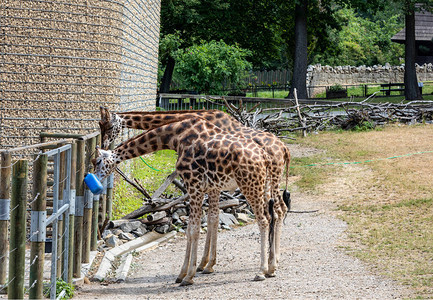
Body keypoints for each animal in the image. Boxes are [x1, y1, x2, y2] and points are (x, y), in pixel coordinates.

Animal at [93, 117, 280, 286]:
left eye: (98, 161)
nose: (94, 179)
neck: (176, 138)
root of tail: (264, 156)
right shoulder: (204, 188)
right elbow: (198, 225)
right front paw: (186, 272)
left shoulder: (194, 186)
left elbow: (194, 230)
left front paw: (189, 275)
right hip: (264, 185)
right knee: (274, 216)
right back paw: (271, 268)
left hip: (250, 185)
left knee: (264, 220)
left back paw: (261, 271)